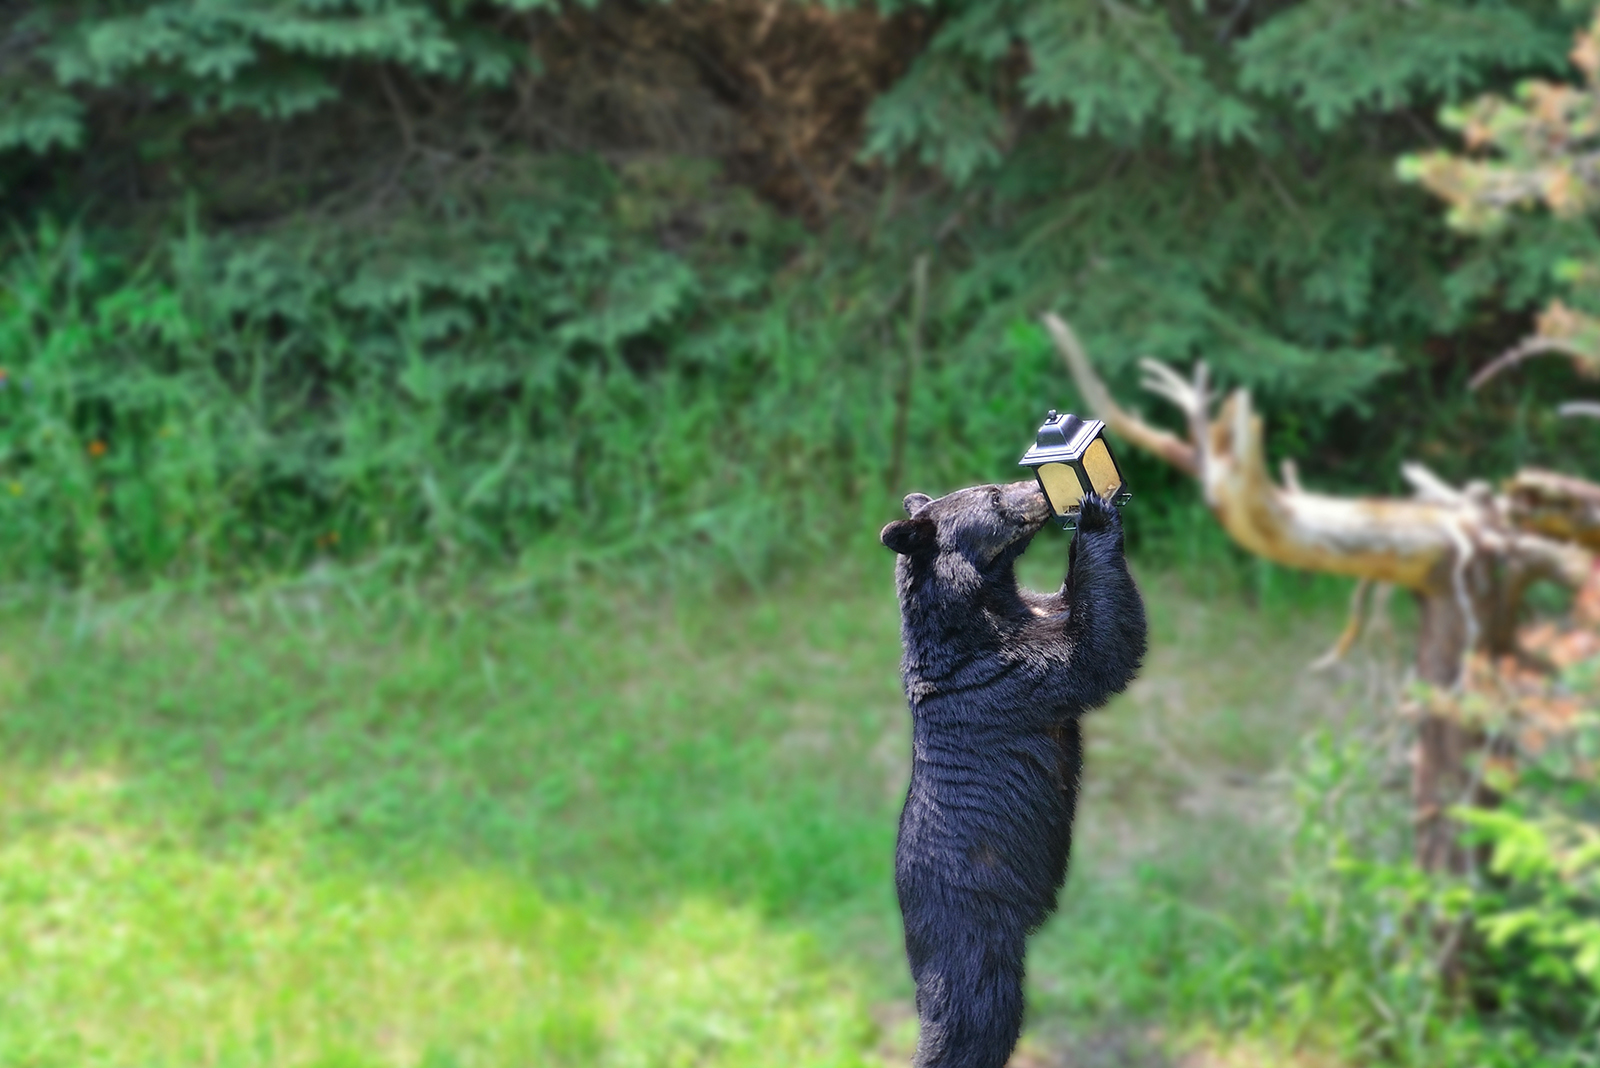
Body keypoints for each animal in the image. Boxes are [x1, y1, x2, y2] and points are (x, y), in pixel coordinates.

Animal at [883, 482, 1145, 1068]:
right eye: (995, 497)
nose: (1037, 491)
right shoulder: (1008, 671)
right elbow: (1094, 652)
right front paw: (1095, 514)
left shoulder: (1032, 613)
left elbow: (1074, 609)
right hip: (971, 927)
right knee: (973, 1014)